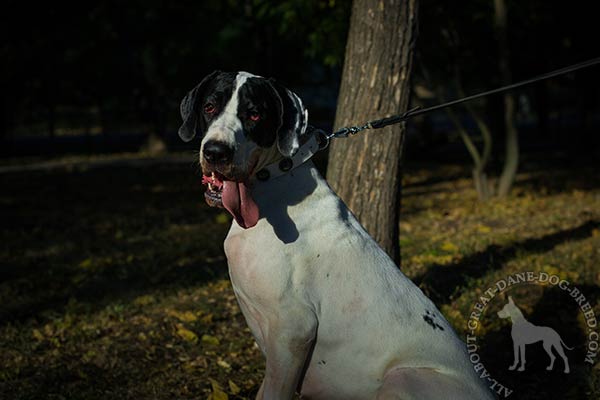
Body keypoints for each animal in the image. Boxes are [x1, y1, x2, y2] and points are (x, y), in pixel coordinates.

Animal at [179, 71, 496, 400]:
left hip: (401, 378)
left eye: (254, 114)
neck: (274, 177)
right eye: (210, 107)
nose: (216, 152)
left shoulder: (293, 329)